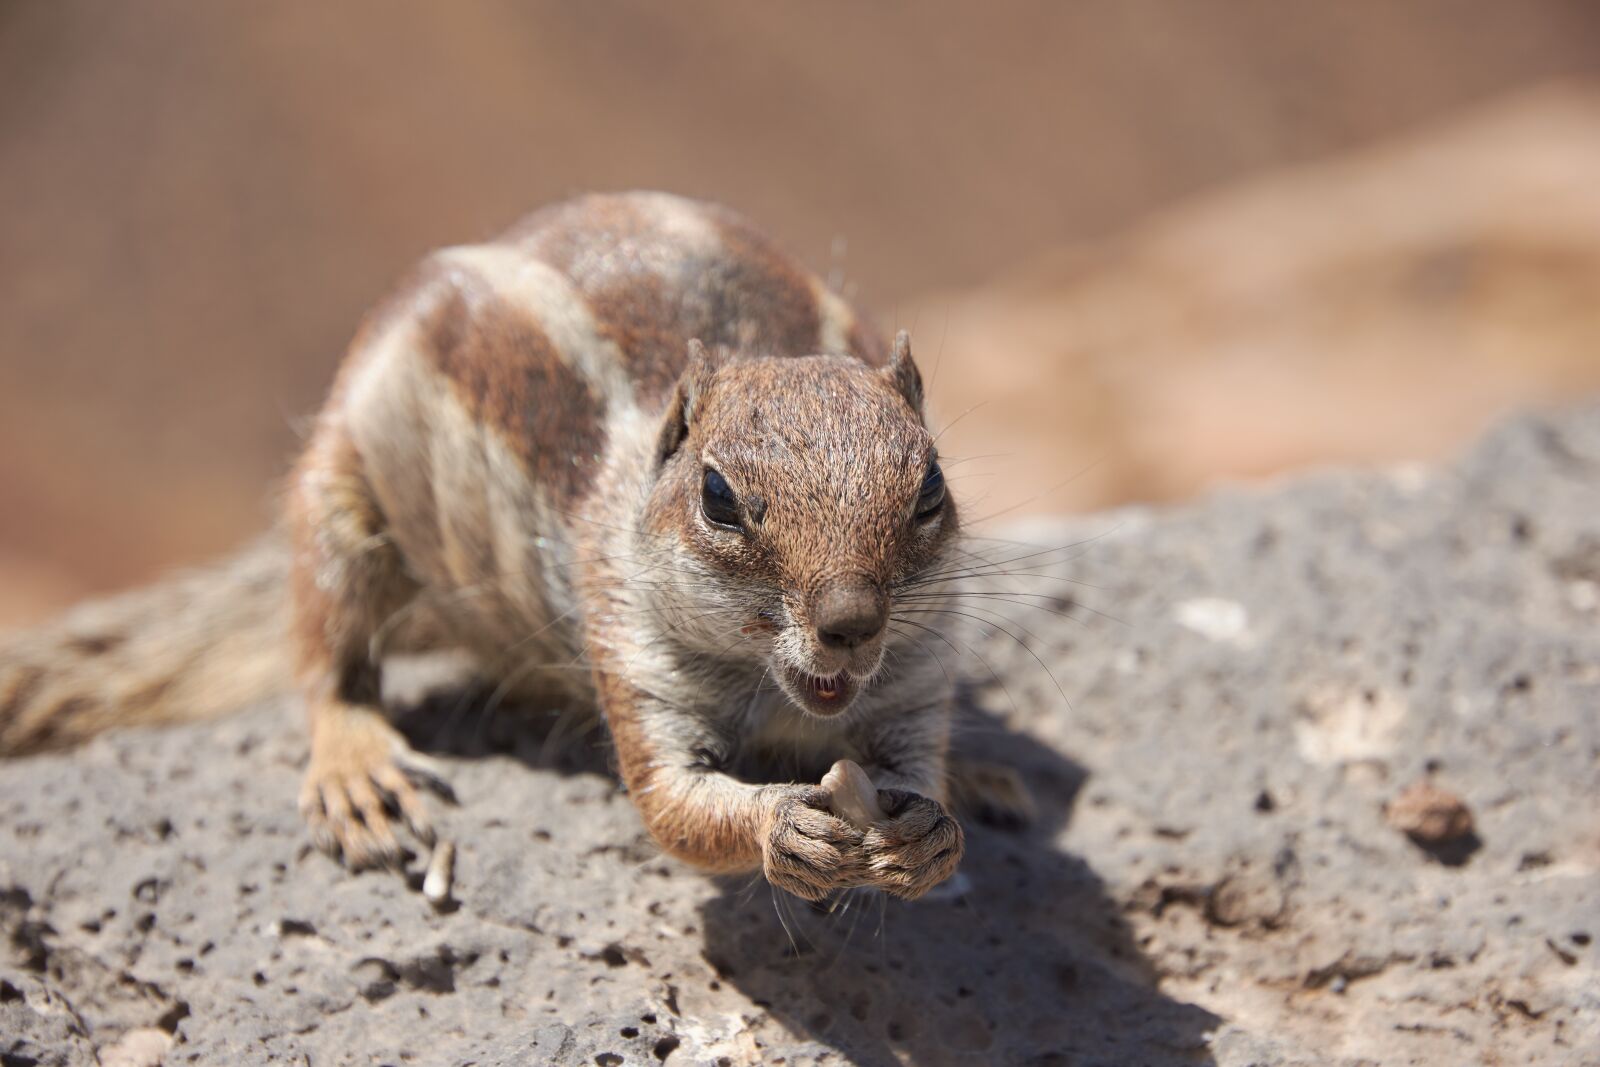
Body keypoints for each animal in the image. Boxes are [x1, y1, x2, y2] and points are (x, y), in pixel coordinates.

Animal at [0, 191, 1032, 901]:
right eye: (718, 498)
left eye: (931, 487)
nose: (851, 622)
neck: (783, 701)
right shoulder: (630, 640)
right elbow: (673, 805)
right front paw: (782, 822)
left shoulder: (917, 674)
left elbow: (913, 764)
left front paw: (932, 833)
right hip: (341, 489)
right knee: (327, 645)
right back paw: (358, 768)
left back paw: (988, 780)